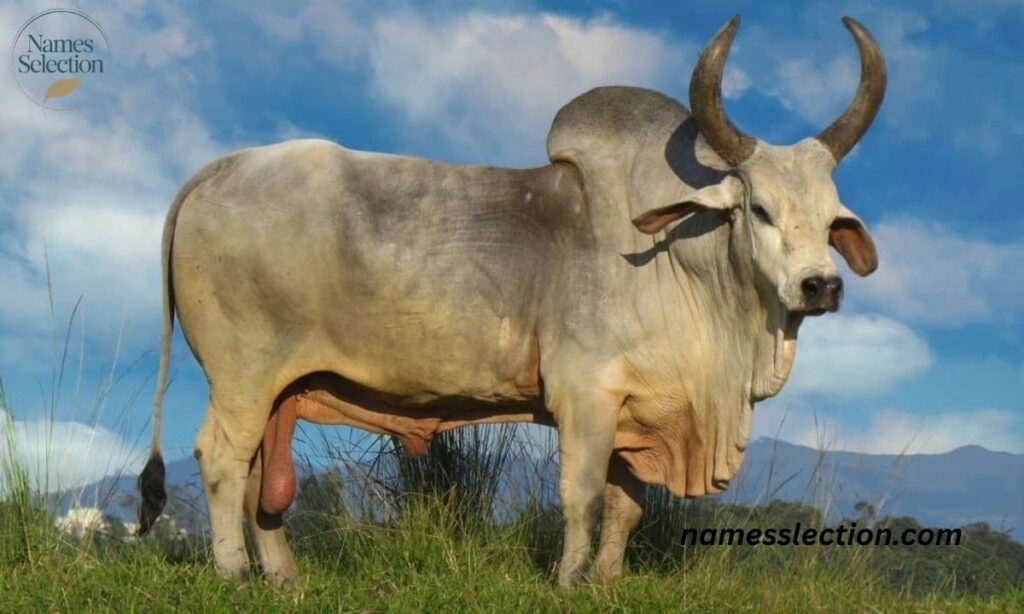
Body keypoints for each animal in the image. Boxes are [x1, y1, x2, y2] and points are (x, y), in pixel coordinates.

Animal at [138, 16, 884, 589]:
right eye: (758, 209)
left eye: (832, 220)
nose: (821, 286)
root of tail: (221, 168)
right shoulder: (585, 396)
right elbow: (581, 499)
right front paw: (568, 582)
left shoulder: (637, 411)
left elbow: (626, 508)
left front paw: (606, 581)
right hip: (241, 374)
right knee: (221, 460)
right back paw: (235, 574)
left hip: (277, 390)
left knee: (260, 477)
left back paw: (284, 577)